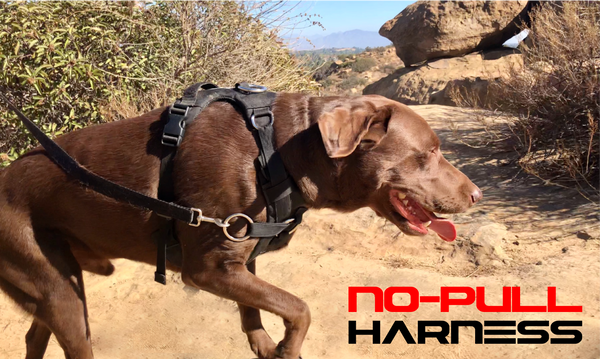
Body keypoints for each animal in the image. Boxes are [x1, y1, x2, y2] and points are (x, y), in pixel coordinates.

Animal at [0, 94, 480, 358]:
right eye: (429, 153)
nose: (477, 195)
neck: (279, 154)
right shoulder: (207, 268)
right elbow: (299, 307)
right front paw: (287, 348)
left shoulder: (237, 259)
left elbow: (258, 307)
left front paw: (264, 345)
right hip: (55, 286)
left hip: (56, 283)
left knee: (33, 336)